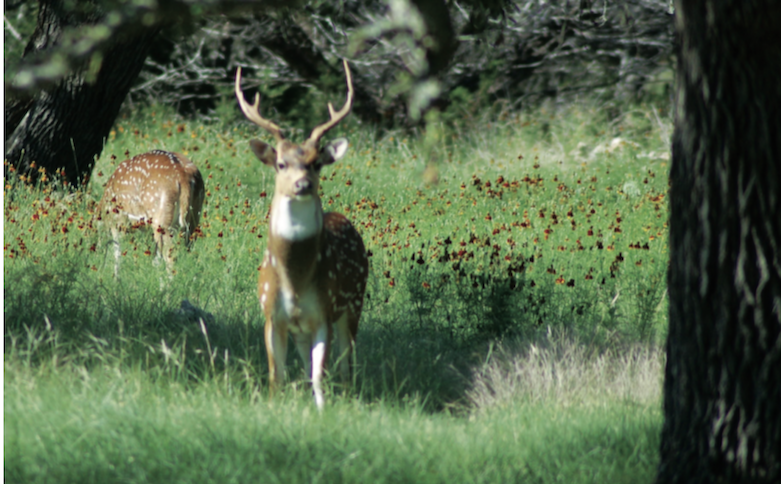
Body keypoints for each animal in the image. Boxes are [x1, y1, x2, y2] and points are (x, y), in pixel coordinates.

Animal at [98, 149, 204, 278]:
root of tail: (182, 174)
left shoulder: (120, 220)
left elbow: (118, 252)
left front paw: (116, 278)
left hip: (162, 219)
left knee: (170, 256)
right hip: (193, 217)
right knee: (187, 251)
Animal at [235, 58, 368, 410]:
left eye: (316, 163)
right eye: (281, 164)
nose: (303, 184)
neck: (295, 280)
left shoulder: (324, 312)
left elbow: (320, 377)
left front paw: (322, 411)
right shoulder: (272, 316)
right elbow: (276, 376)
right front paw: (273, 406)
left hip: (354, 303)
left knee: (347, 363)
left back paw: (348, 396)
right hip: (302, 329)